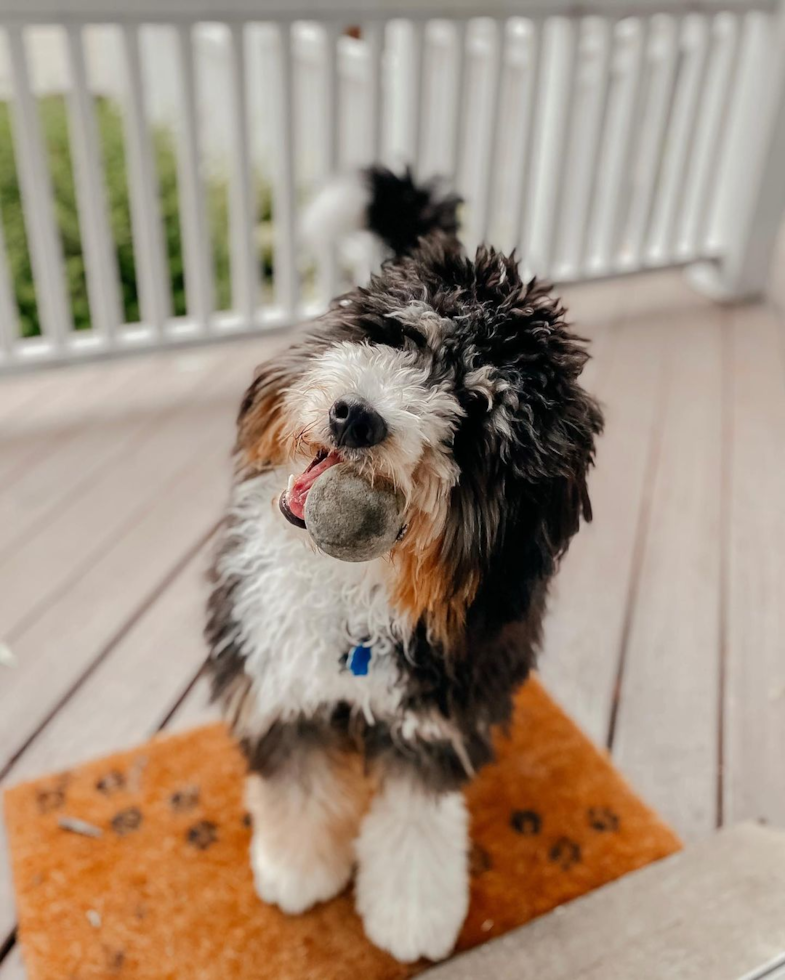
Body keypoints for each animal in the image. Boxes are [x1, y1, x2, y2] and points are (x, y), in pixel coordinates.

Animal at [204, 168, 600, 964]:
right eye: (400, 337)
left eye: (474, 412)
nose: (357, 416)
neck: (350, 592)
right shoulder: (280, 677)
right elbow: (300, 784)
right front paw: (298, 867)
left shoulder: (437, 709)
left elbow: (416, 818)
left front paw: (412, 913)